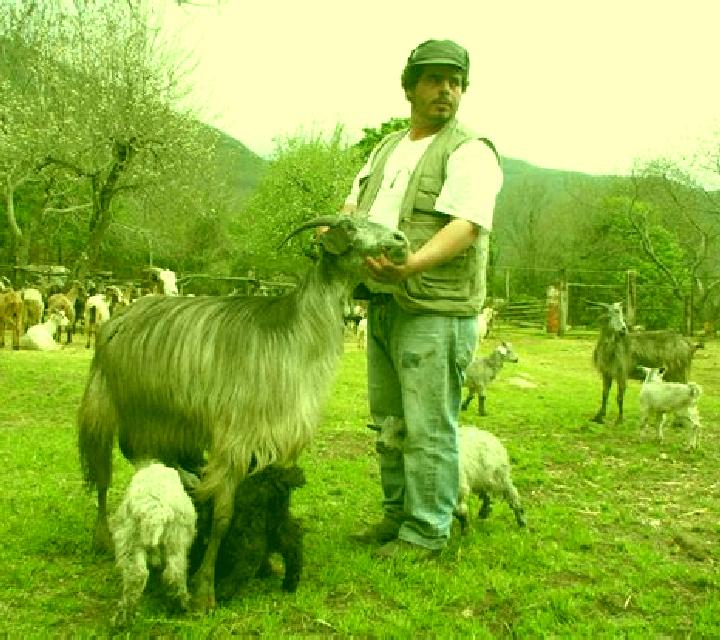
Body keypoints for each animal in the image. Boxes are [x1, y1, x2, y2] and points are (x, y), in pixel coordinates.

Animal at [77, 214, 408, 610]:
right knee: (102, 476)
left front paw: (261, 564)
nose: (401, 239)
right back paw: (101, 538)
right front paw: (205, 589)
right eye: (350, 226)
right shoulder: (234, 439)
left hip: (160, 421)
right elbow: (223, 515)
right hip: (103, 405)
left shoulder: (272, 441)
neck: (297, 338)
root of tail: (118, 316)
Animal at [110, 461, 197, 628]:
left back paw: (123, 618)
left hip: (132, 540)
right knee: (173, 572)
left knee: (138, 574)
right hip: (175, 539)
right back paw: (180, 604)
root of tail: (156, 510)